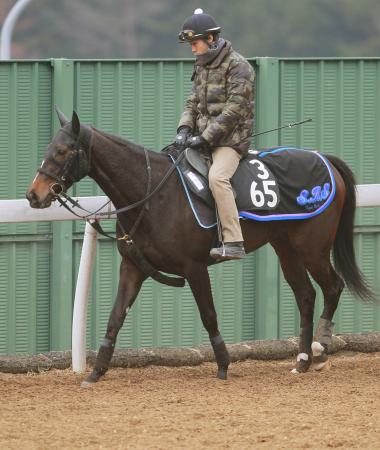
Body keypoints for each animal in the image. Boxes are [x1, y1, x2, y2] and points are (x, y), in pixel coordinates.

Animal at [26, 110, 374, 384]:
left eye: (64, 150)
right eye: (48, 148)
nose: (33, 195)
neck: (154, 194)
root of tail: (324, 159)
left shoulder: (194, 267)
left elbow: (208, 315)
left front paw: (223, 365)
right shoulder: (133, 266)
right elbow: (115, 317)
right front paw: (96, 371)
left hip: (312, 246)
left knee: (332, 286)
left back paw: (320, 351)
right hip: (285, 246)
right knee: (306, 295)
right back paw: (301, 362)